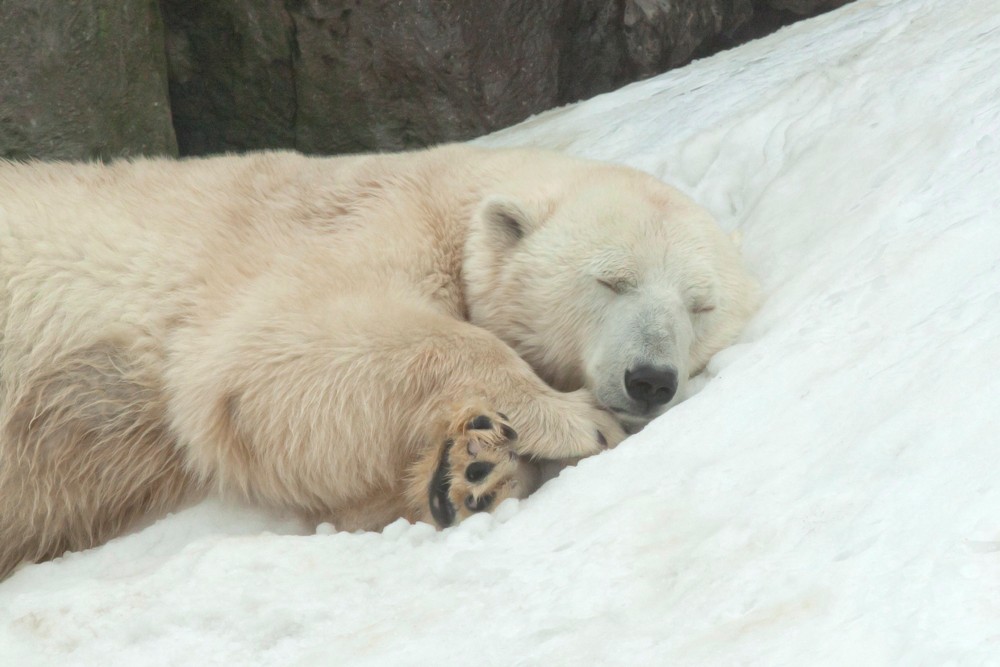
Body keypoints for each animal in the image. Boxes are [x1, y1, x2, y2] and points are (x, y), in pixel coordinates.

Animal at [0, 146, 756, 580]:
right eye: (611, 280)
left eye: (700, 305)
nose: (650, 379)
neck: (448, 190)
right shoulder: (356, 224)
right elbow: (275, 353)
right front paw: (572, 419)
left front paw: (472, 468)